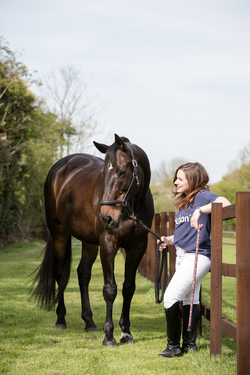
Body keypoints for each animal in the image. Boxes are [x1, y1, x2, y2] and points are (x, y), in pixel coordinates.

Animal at [31, 134, 154, 346]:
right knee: (60, 274)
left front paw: (126, 333)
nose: (107, 217)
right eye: (103, 173)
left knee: (83, 274)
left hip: (89, 242)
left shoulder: (138, 246)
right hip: (59, 234)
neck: (132, 206)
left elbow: (128, 288)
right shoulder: (108, 243)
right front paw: (109, 336)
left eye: (122, 172)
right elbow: (110, 289)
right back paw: (61, 319)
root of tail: (59, 167)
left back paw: (89, 322)